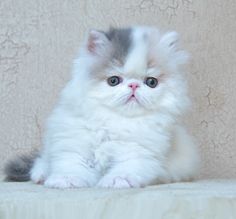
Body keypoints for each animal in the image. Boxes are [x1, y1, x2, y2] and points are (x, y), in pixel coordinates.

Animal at [4, 26, 199, 188]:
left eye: (151, 82)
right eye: (113, 80)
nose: (134, 85)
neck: (114, 121)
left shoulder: (139, 153)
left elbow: (126, 168)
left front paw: (117, 180)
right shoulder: (76, 145)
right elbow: (72, 164)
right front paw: (66, 180)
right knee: (43, 159)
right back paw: (41, 174)